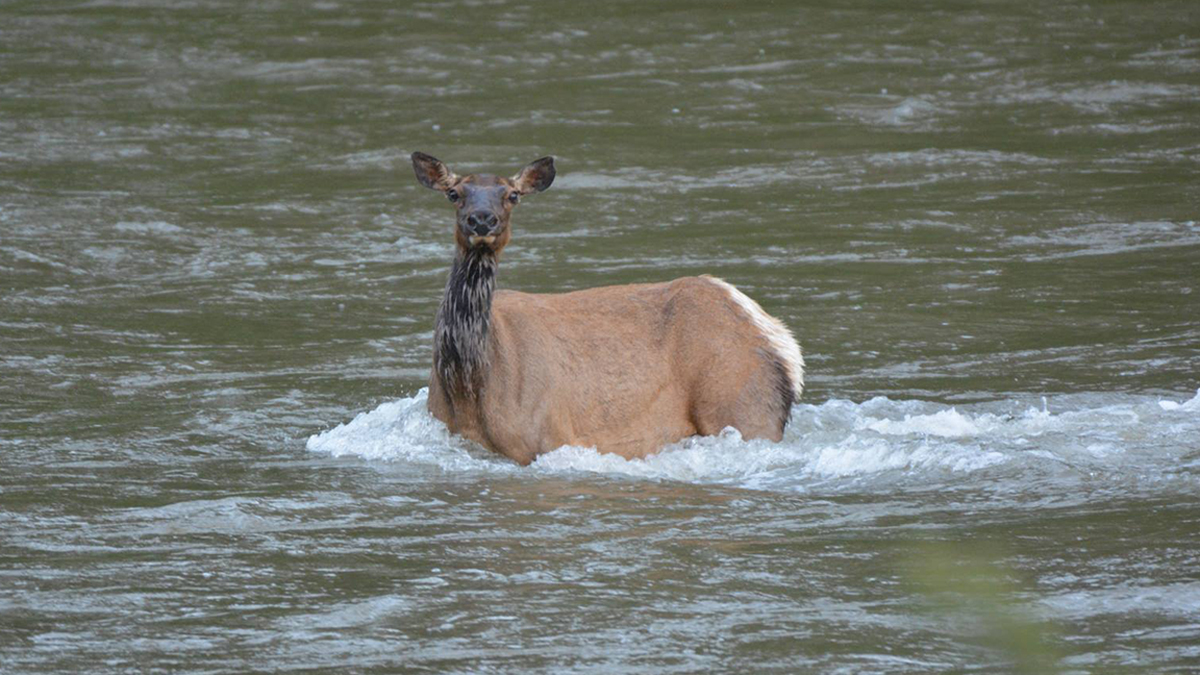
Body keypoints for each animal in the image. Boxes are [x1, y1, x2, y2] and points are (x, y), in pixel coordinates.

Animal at [411, 152, 804, 465]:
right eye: (454, 193)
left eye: (512, 195)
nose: (481, 219)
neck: (470, 385)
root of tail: (780, 341)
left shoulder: (549, 437)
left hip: (744, 405)